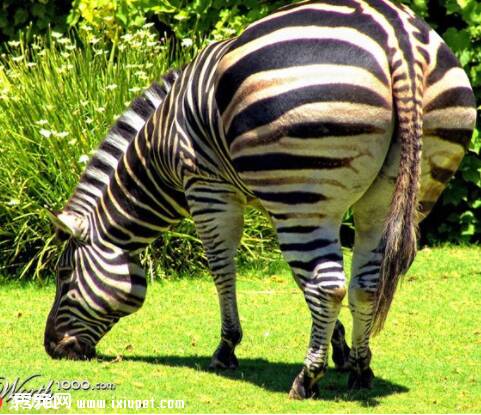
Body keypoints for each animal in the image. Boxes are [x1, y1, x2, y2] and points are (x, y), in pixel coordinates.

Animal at [45, 0, 476, 402]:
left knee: (328, 286)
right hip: (381, 194)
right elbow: (298, 278)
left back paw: (306, 379)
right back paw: (361, 370)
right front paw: (339, 348)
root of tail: (395, 33)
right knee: (366, 284)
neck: (161, 147)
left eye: (64, 275)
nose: (51, 348)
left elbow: (222, 269)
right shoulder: (270, 200)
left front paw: (226, 348)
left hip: (304, 192)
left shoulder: (208, 187)